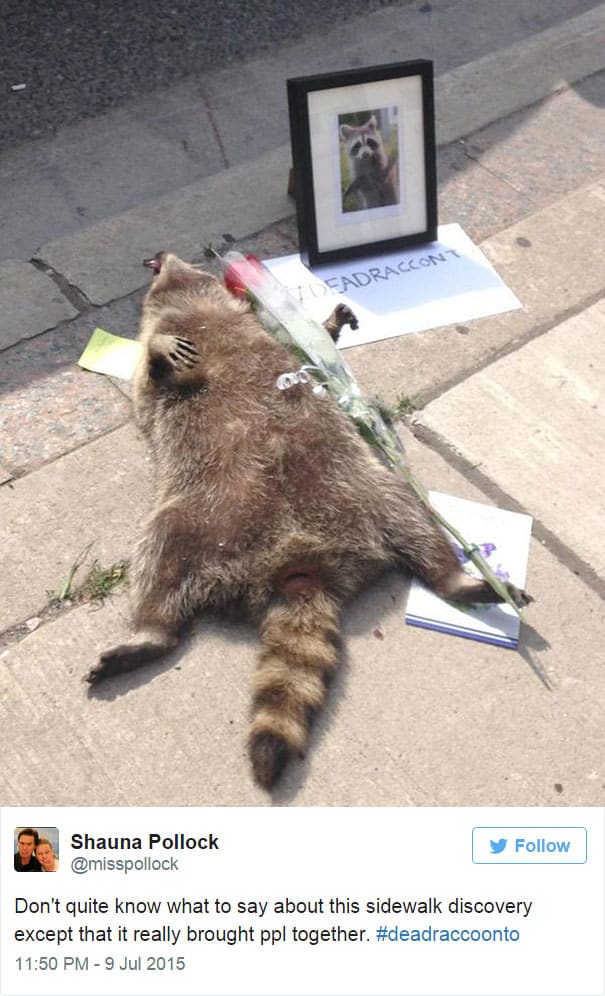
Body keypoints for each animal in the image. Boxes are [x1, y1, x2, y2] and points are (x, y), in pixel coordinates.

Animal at [86, 253, 528, 788]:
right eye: (156, 282)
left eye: (185, 267)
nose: (159, 258)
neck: (198, 314)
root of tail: (298, 567)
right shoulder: (151, 390)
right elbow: (149, 380)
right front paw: (160, 349)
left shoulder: (262, 334)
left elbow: (309, 348)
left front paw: (329, 325)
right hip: (193, 515)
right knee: (156, 557)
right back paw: (150, 630)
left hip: (364, 488)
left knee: (413, 516)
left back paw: (453, 576)